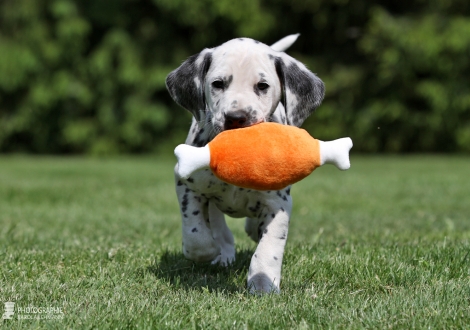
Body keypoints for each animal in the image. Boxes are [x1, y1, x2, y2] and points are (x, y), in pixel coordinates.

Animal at [167, 34, 324, 292]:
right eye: (218, 84)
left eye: (262, 86)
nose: (236, 117)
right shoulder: (186, 184)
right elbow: (196, 235)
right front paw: (209, 251)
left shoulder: (278, 204)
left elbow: (269, 246)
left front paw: (263, 281)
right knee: (218, 226)